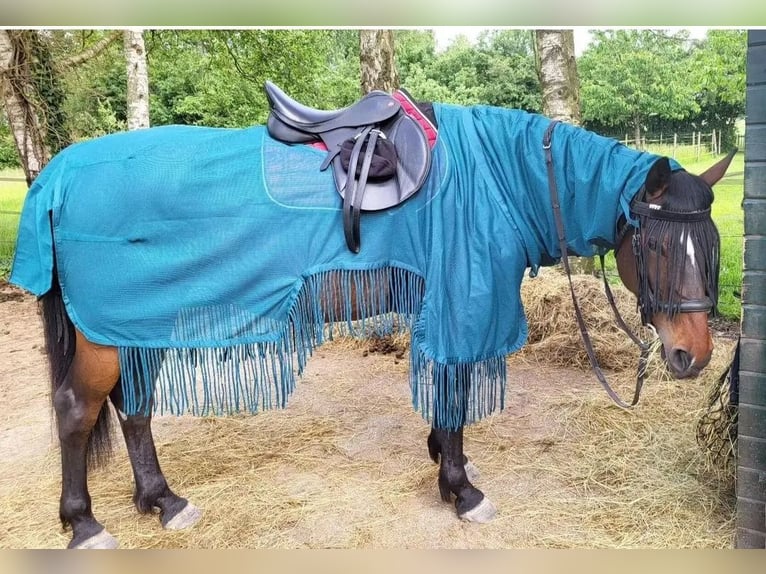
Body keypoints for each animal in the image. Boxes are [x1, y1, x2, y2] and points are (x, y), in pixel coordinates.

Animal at [9, 95, 734, 549]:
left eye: (711, 245)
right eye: (658, 246)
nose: (692, 356)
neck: (497, 178)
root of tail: (59, 174)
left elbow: (447, 394)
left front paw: (445, 458)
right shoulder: (461, 302)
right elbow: (454, 388)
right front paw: (460, 488)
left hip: (139, 324)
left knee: (132, 410)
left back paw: (163, 502)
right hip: (107, 334)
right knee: (77, 410)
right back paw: (84, 525)